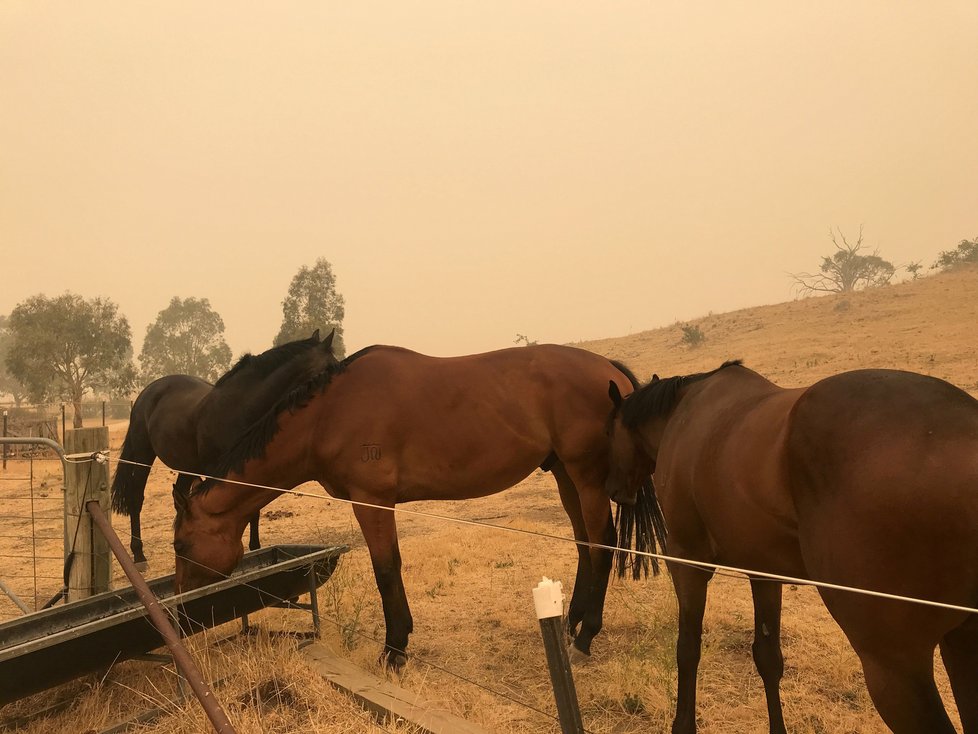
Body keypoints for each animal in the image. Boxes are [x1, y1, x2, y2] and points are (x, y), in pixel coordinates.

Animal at [110, 330, 338, 568]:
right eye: (330, 367)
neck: (238, 409)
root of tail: (147, 392)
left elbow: (252, 510)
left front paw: (255, 549)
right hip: (143, 455)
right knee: (136, 498)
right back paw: (139, 555)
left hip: (186, 466)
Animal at [172, 344, 668, 672]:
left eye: (181, 545)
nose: (181, 615)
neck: (328, 415)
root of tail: (608, 369)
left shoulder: (371, 502)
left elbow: (386, 570)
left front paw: (394, 650)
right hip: (566, 475)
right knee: (586, 545)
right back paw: (570, 623)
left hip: (585, 477)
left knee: (603, 545)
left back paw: (585, 636)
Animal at [604, 362, 976, 734]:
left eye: (610, 430)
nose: (614, 490)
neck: (684, 414)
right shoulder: (763, 571)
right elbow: (768, 657)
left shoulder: (687, 562)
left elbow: (687, 648)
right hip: (960, 643)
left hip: (895, 668)